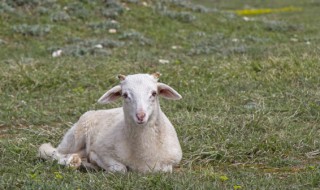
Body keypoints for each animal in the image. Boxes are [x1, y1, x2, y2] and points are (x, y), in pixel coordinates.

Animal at [38, 72, 182, 172]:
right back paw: (72, 161)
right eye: (125, 95)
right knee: (51, 152)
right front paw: (96, 163)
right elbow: (120, 169)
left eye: (154, 93)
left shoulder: (172, 161)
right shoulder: (102, 151)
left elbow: (164, 169)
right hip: (75, 137)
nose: (140, 116)